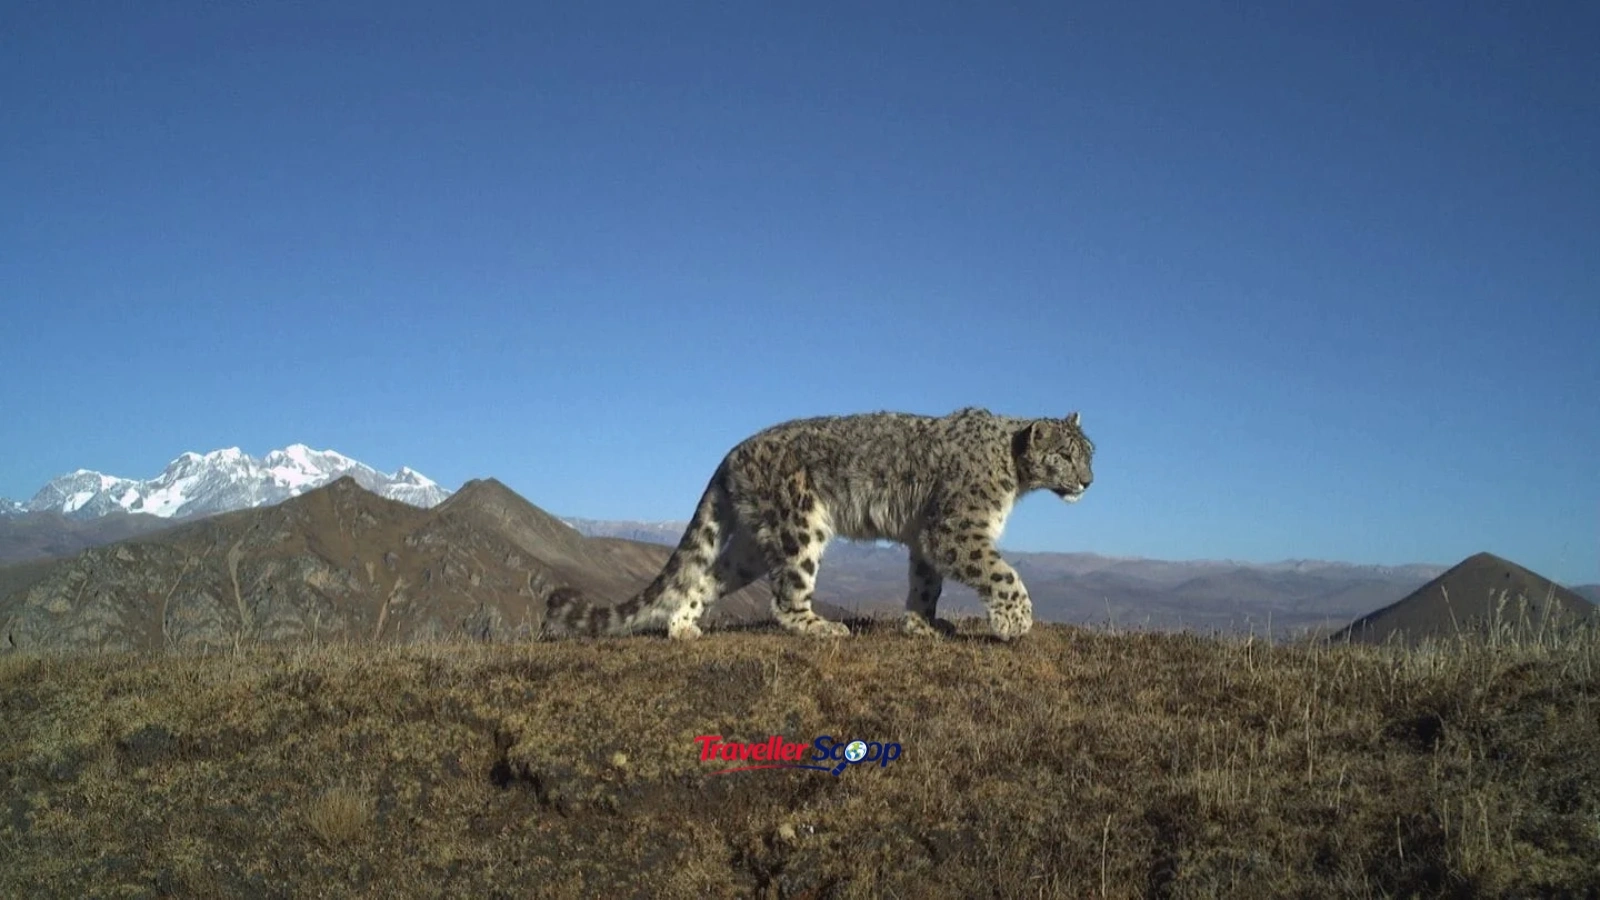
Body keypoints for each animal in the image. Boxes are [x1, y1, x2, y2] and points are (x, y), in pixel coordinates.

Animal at [542, 406, 1094, 641]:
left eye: (1090, 452)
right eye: (1067, 455)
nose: (1089, 482)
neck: (1014, 476)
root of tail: (731, 453)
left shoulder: (926, 537)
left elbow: (925, 582)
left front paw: (922, 622)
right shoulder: (956, 529)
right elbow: (1002, 573)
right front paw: (1014, 622)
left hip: (750, 546)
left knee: (705, 577)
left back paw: (684, 628)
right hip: (800, 528)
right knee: (785, 599)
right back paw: (823, 628)